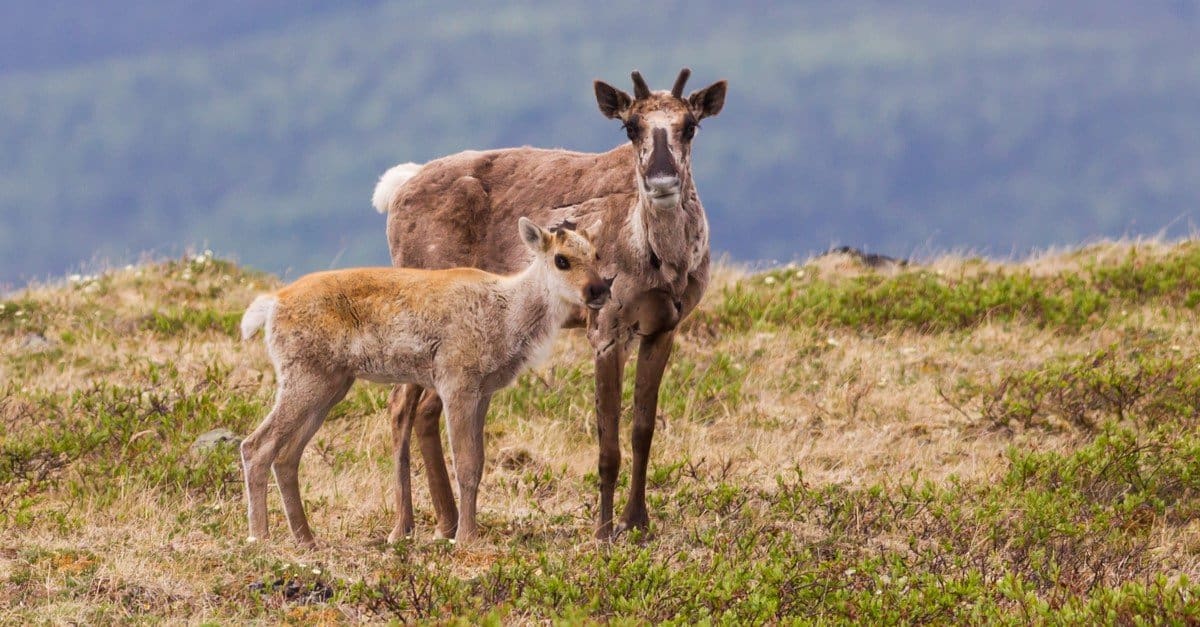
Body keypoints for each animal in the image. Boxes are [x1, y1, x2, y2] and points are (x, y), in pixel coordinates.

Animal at [237, 218, 609, 540]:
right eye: (561, 260)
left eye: (596, 254)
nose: (598, 290)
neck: (507, 316)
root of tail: (271, 306)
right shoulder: (457, 383)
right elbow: (466, 464)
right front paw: (466, 538)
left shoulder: (483, 391)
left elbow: (479, 462)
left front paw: (467, 533)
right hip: (304, 378)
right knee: (256, 445)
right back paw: (261, 537)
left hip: (331, 385)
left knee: (286, 456)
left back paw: (306, 539)